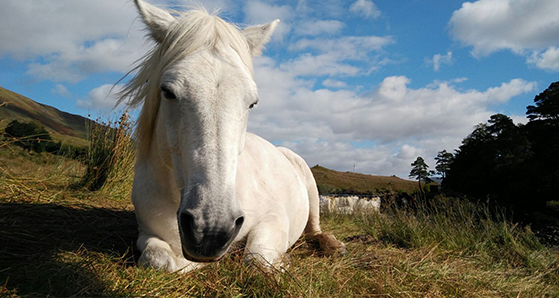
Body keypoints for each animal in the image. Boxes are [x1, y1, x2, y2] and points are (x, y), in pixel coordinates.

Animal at [122, 0, 346, 272]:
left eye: (252, 102)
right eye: (167, 91)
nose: (210, 230)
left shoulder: (274, 218)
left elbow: (257, 258)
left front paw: (281, 262)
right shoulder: (146, 232)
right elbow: (160, 260)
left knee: (315, 229)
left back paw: (333, 245)